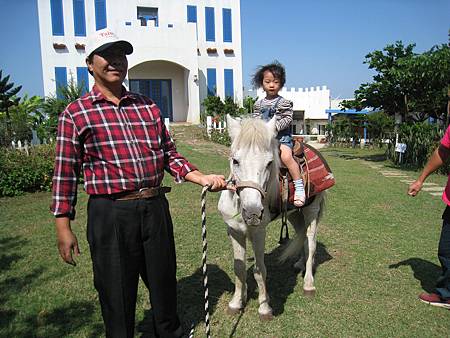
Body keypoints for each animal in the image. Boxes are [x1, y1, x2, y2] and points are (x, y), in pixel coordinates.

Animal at [220, 115, 326, 320]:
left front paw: (264, 307)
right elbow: (238, 268)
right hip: (294, 214)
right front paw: (236, 303)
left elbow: (259, 270)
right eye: (235, 161)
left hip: (311, 210)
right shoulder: (234, 231)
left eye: (269, 163)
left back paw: (308, 284)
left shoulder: (258, 233)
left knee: (311, 243)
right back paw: (300, 264)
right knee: (301, 236)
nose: (253, 212)